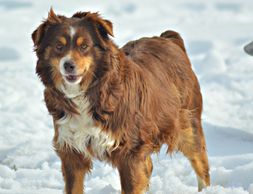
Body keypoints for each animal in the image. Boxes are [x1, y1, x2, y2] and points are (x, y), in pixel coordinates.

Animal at [31, 7, 210, 194]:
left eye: (84, 46)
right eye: (59, 46)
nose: (68, 65)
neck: (89, 91)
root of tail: (169, 39)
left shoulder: (130, 151)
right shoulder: (71, 150)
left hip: (187, 123)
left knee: (200, 162)